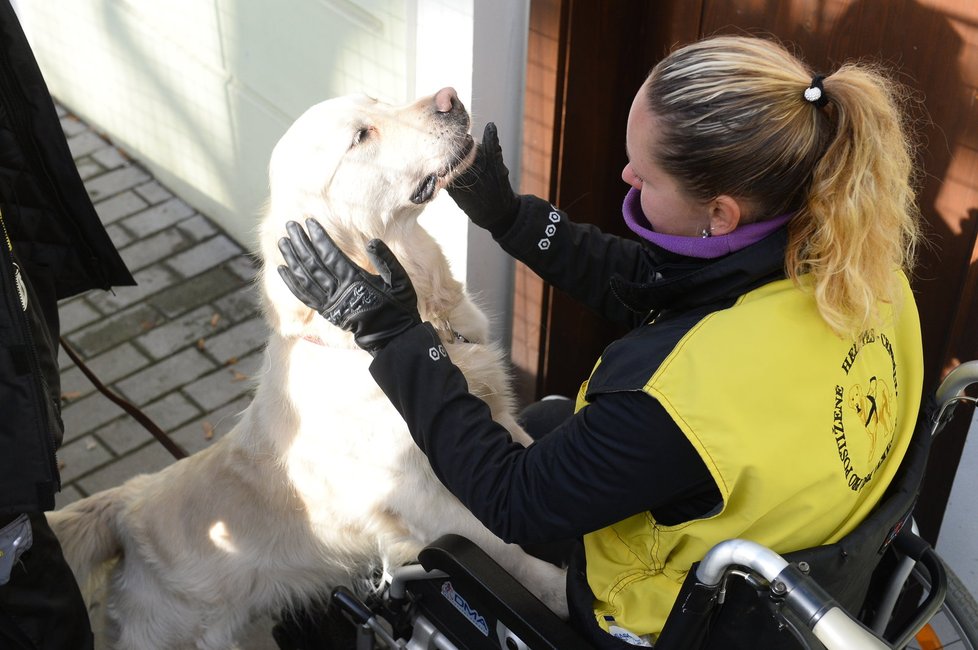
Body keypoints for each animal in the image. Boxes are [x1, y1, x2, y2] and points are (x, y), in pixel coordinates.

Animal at [47, 87, 564, 648]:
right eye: (360, 136)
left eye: (379, 99)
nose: (450, 97)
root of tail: (124, 504)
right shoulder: (427, 503)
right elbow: (512, 551)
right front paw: (565, 595)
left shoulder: (499, 426)